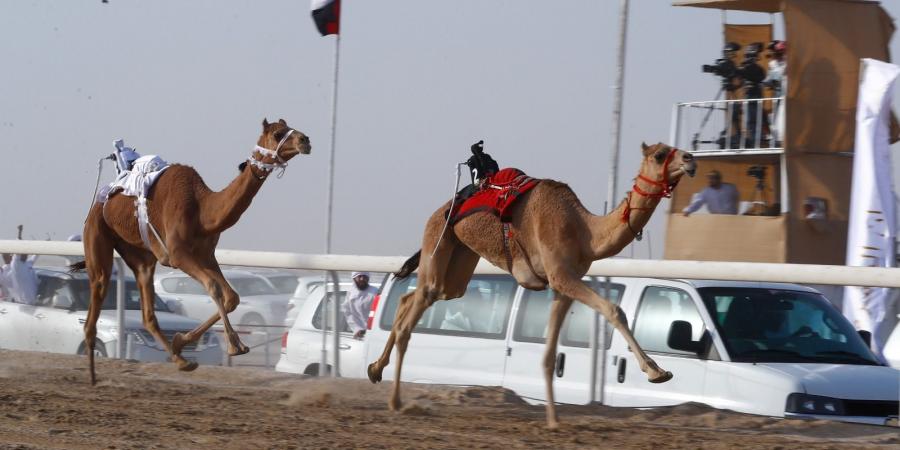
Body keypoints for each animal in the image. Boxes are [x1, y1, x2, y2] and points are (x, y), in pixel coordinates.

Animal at [74, 118, 312, 384]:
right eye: (278, 133)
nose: (305, 140)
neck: (202, 210)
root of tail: (102, 200)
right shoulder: (178, 254)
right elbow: (214, 288)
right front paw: (234, 346)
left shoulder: (206, 254)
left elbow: (232, 297)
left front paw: (181, 341)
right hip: (97, 235)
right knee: (96, 300)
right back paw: (92, 377)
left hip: (141, 256)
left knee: (148, 314)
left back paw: (180, 360)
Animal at [366, 142, 696, 428]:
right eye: (660, 154)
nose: (690, 159)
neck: (584, 231)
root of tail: (444, 207)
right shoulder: (561, 275)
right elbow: (614, 310)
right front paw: (657, 371)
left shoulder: (564, 283)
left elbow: (550, 355)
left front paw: (553, 420)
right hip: (439, 236)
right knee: (413, 313)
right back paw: (395, 401)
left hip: (459, 265)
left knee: (414, 298)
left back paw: (375, 369)